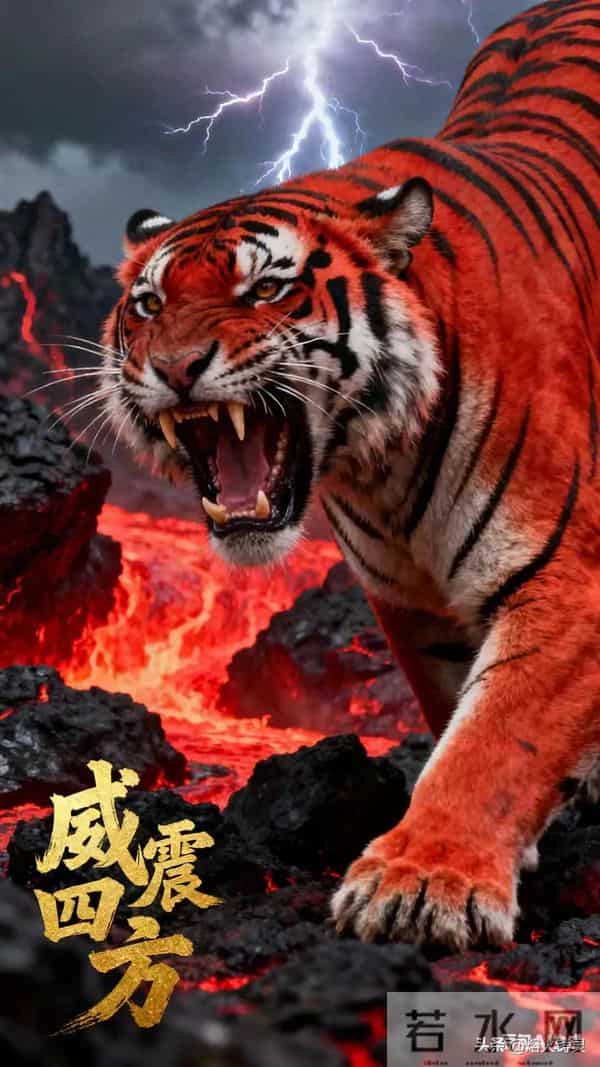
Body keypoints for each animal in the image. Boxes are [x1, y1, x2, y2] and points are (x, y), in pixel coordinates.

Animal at [101, 0, 600, 952]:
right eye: (148, 304)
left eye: (264, 291)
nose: (175, 367)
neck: (381, 463)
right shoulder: (414, 602)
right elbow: (461, 716)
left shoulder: (570, 574)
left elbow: (498, 734)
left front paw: (424, 881)